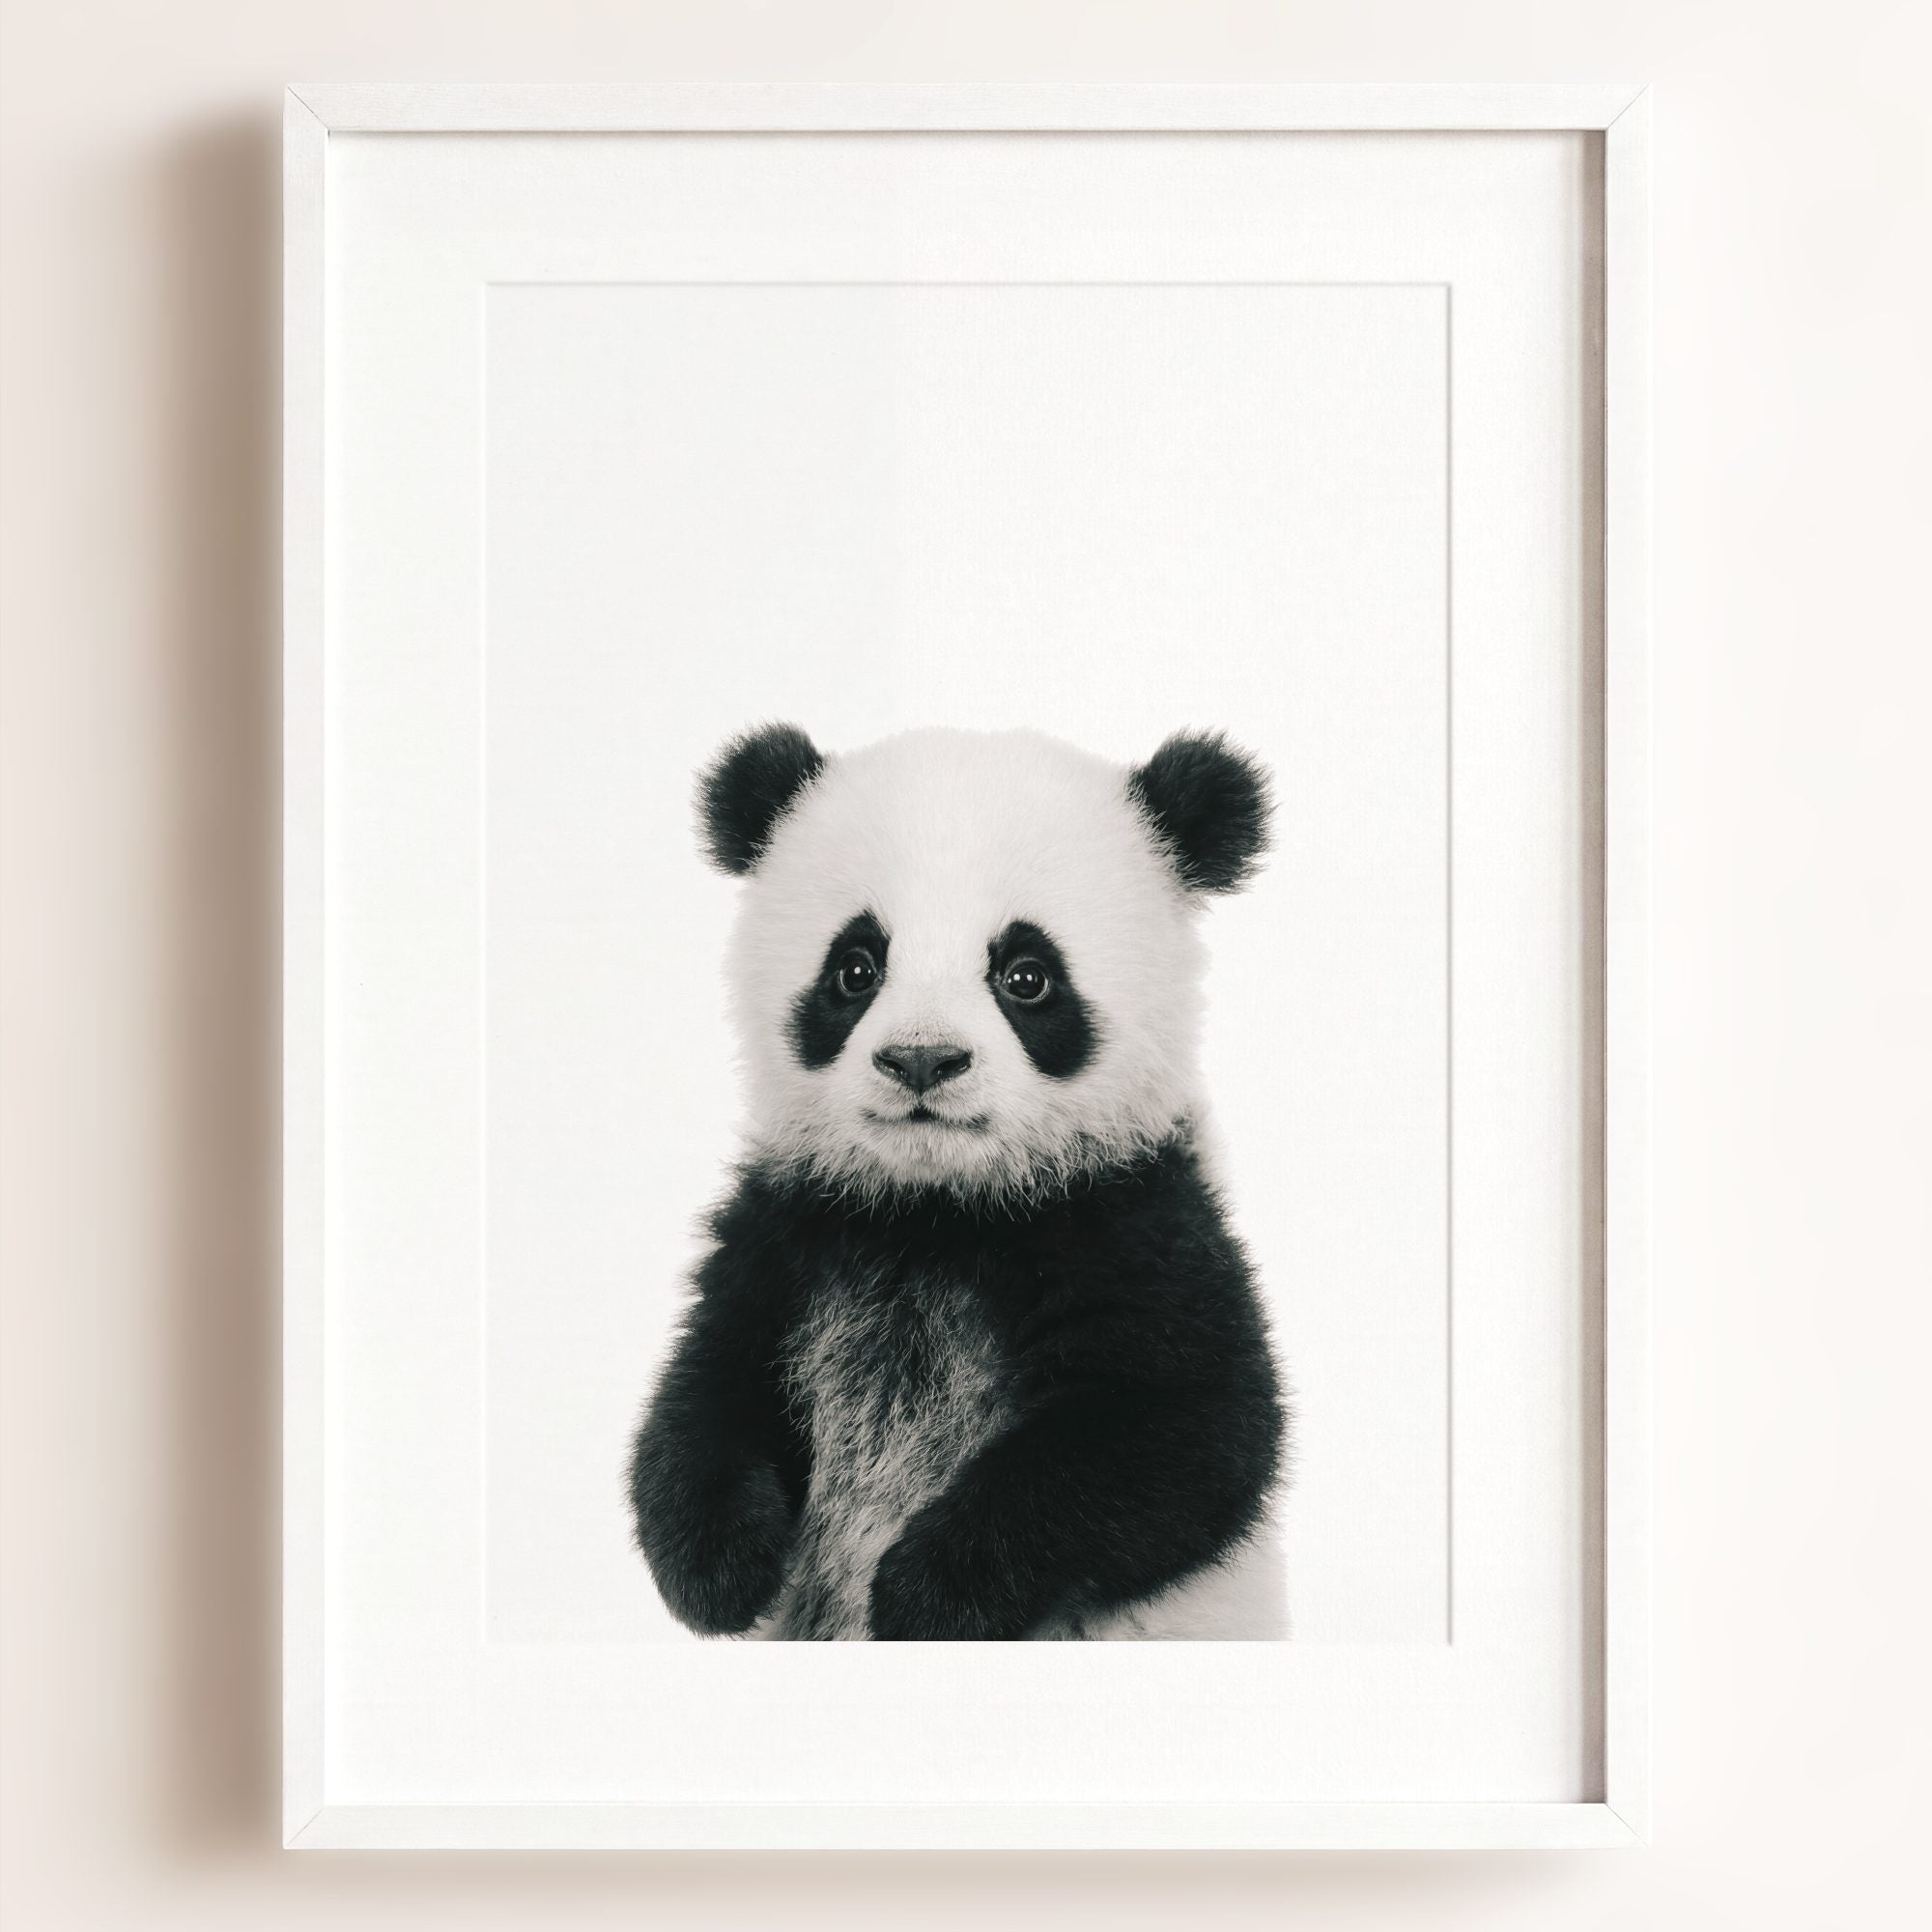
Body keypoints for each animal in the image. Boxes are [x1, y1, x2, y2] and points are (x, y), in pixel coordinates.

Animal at [627, 722, 1289, 1640]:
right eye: (856, 968)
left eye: (1026, 975)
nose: (921, 1060)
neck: (938, 1210)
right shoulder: (792, 1228)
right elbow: (710, 1386)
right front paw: (719, 1568)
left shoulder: (1134, 1219)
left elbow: (1185, 1431)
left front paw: (926, 1594)